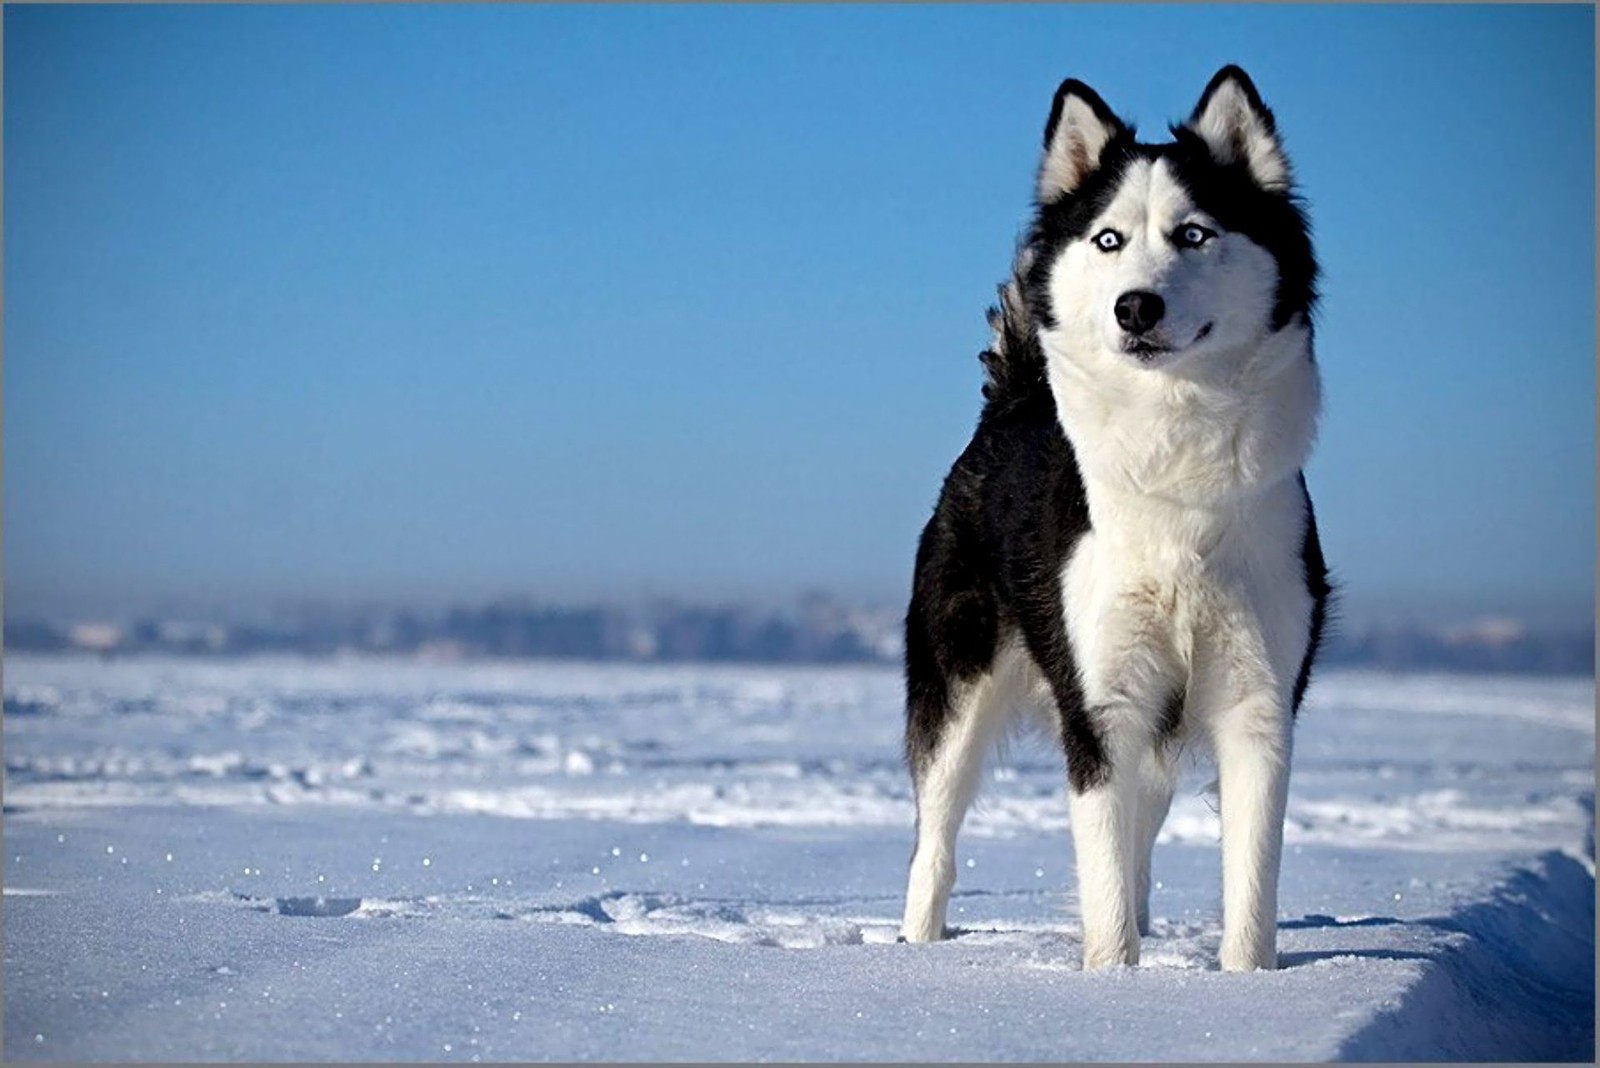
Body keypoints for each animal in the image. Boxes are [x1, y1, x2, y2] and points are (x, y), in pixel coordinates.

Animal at [902, 62, 1324, 972]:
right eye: (1107, 240)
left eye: (1195, 234)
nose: (1136, 307)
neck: (1176, 460)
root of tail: (1013, 399)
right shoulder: (1102, 709)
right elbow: (1101, 893)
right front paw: (1111, 985)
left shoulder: (1257, 703)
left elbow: (1249, 894)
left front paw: (1249, 985)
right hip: (956, 685)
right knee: (935, 843)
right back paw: (914, 945)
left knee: (1137, 841)